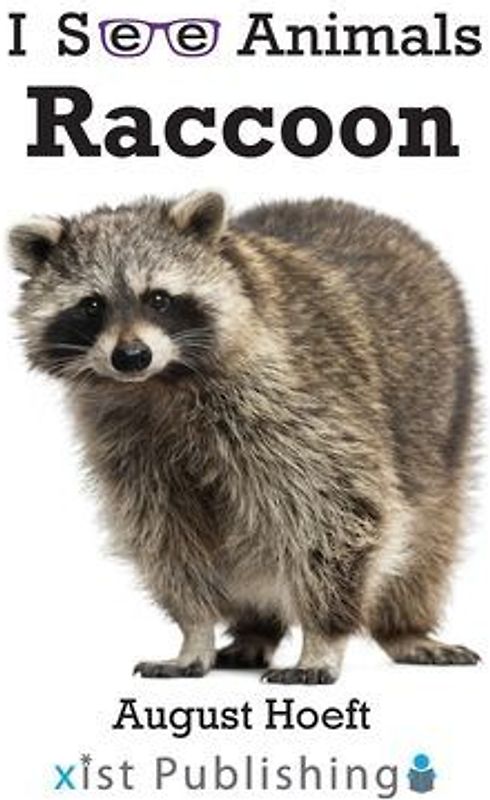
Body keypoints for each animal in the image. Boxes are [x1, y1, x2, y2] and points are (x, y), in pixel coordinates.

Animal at [9, 192, 480, 683]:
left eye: (158, 299)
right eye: (92, 305)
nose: (132, 356)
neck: (159, 384)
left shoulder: (299, 399)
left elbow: (339, 512)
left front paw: (323, 638)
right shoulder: (128, 442)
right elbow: (165, 535)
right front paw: (195, 630)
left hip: (445, 412)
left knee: (431, 531)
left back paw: (405, 626)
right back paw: (256, 628)